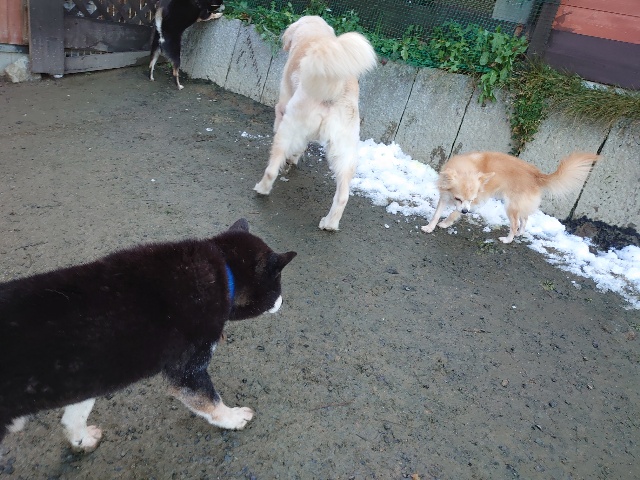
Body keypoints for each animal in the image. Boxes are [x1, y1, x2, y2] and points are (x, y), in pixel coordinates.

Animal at [0, 219, 296, 453]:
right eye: (279, 284)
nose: (283, 302)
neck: (224, 272)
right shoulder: (188, 371)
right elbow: (210, 401)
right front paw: (233, 418)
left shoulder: (88, 375)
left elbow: (76, 414)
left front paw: (81, 439)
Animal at [254, 16, 377, 230]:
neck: (314, 34)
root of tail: (336, 89)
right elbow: (301, 147)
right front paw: (294, 158)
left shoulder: (284, 105)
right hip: (345, 151)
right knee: (343, 196)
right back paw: (330, 223)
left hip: (289, 126)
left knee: (271, 169)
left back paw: (262, 188)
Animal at [421, 151, 600, 243]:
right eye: (458, 198)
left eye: (471, 200)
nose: (466, 212)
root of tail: (536, 175)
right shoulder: (445, 197)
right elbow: (436, 214)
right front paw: (430, 227)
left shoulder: (475, 201)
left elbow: (453, 213)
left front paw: (445, 223)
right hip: (519, 206)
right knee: (525, 219)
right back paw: (520, 233)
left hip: (510, 206)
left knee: (514, 224)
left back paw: (508, 239)